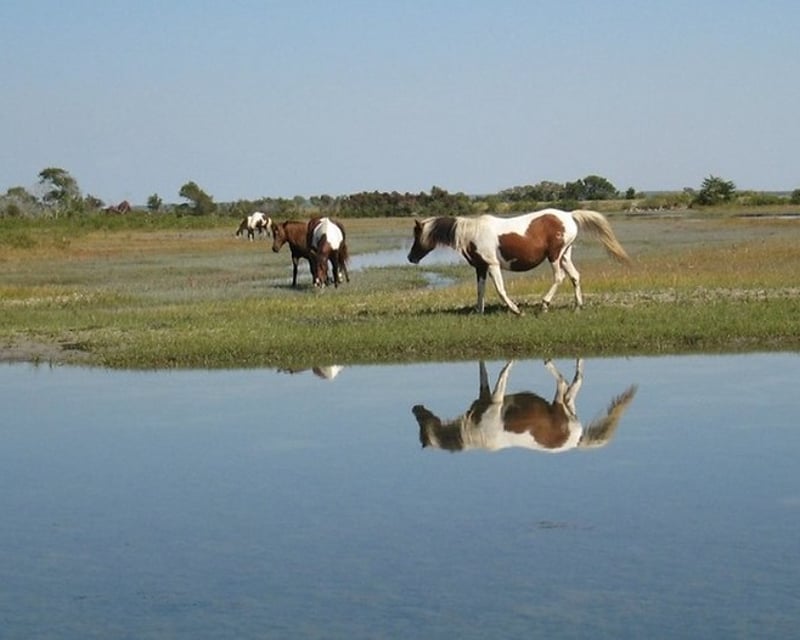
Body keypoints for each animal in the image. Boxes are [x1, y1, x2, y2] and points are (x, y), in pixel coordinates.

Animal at [407, 208, 630, 314]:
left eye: (417, 235)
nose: (411, 257)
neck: (473, 233)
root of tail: (568, 215)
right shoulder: (481, 267)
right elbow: (480, 290)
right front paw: (479, 312)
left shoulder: (493, 265)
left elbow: (500, 290)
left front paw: (516, 310)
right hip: (565, 255)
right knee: (575, 276)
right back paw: (578, 306)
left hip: (555, 256)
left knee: (559, 278)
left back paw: (544, 304)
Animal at [412, 359, 637, 454]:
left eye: (421, 429)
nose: (415, 408)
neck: (474, 431)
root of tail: (577, 439)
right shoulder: (487, 395)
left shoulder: (496, 400)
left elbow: (503, 373)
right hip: (565, 406)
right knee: (571, 385)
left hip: (560, 404)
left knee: (565, 382)